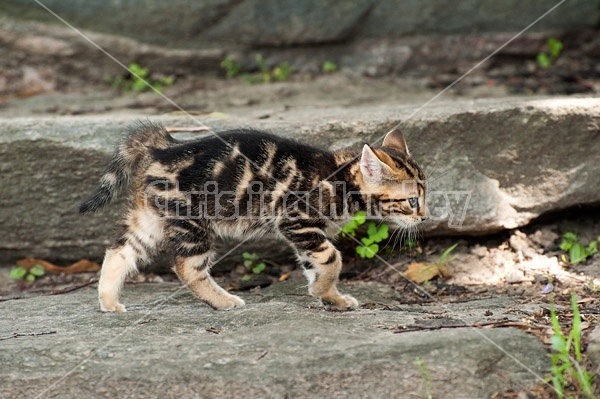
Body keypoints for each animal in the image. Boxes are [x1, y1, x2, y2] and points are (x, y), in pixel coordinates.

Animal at [79, 122, 426, 312]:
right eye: (412, 201)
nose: (423, 217)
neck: (340, 177)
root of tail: (164, 149)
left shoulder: (304, 233)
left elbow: (313, 264)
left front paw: (330, 297)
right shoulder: (297, 221)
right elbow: (331, 259)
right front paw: (325, 292)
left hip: (152, 217)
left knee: (119, 251)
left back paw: (108, 302)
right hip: (192, 221)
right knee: (186, 266)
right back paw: (222, 301)